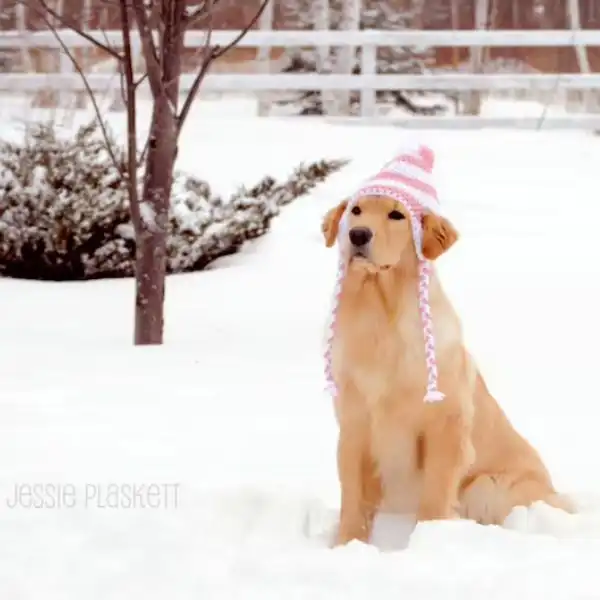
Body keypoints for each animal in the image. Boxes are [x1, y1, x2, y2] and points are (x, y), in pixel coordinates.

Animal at [322, 195, 576, 548]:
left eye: (397, 215)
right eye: (355, 210)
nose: (358, 235)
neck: (381, 313)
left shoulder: (445, 424)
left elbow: (435, 492)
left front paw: (428, 539)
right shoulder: (354, 423)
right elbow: (354, 497)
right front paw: (347, 544)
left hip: (487, 486)